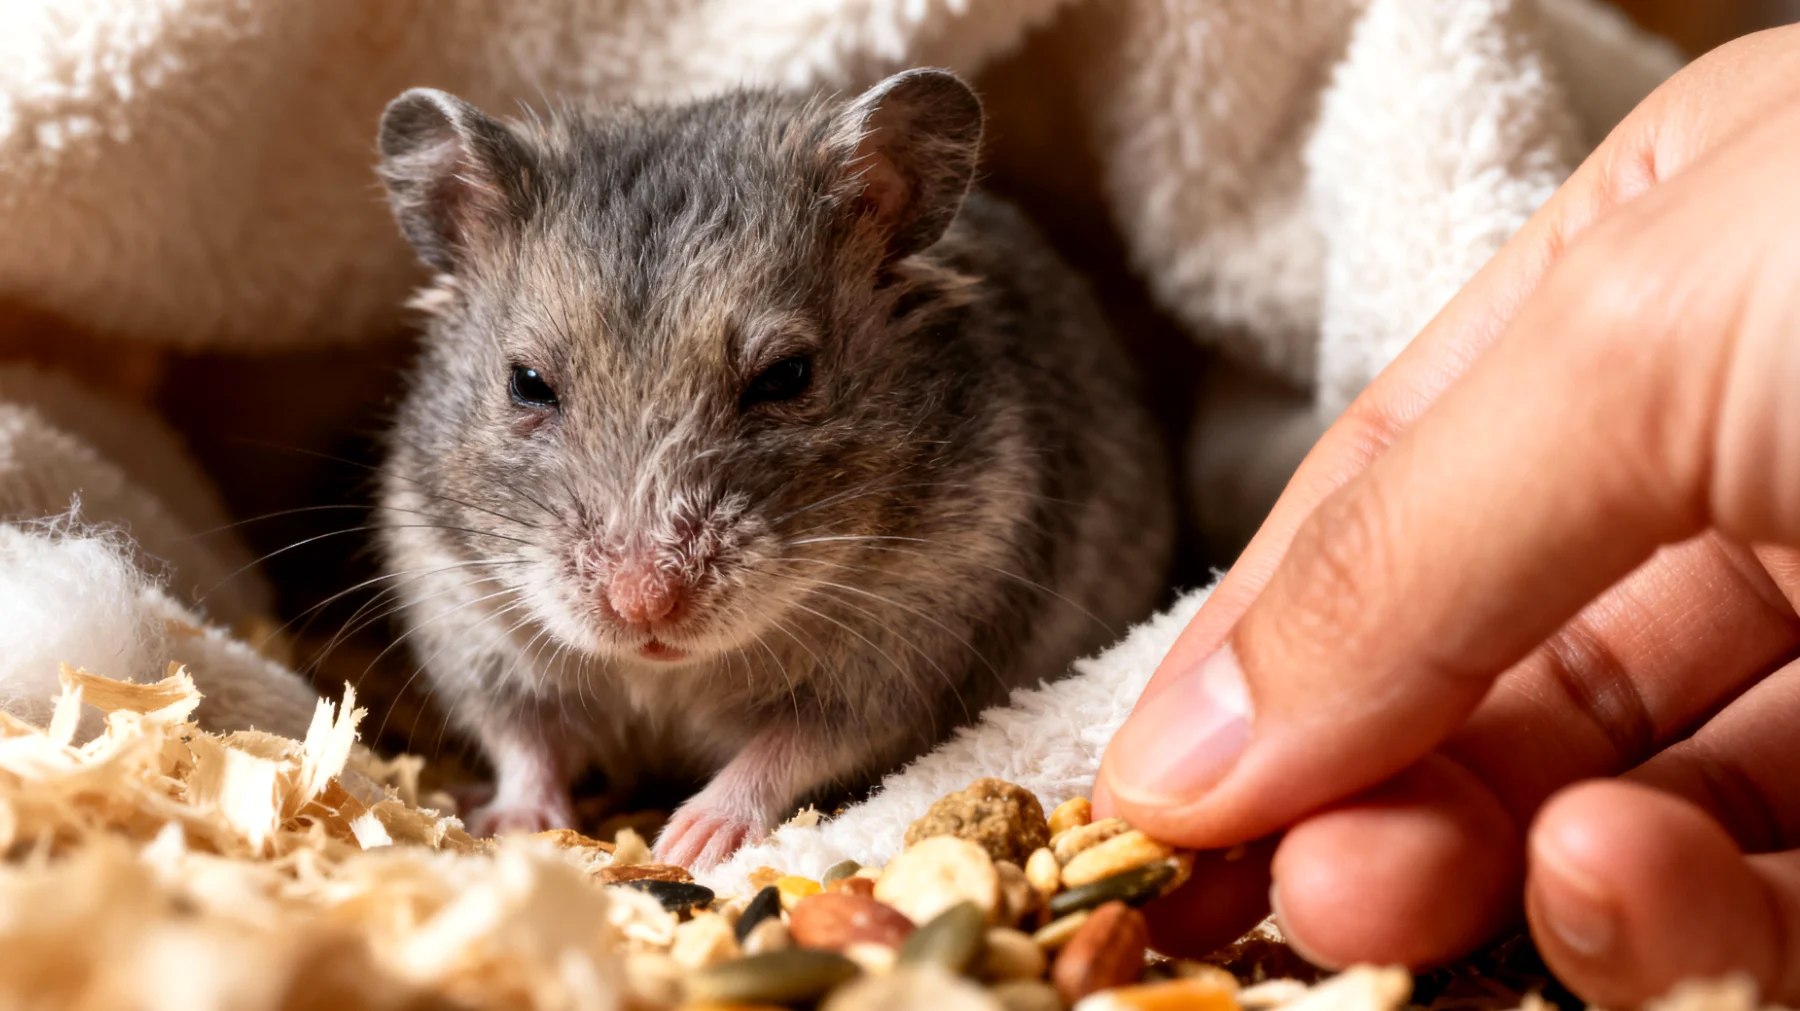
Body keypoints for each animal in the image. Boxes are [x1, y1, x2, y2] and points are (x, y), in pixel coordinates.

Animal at [372, 69, 1174, 869]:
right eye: (528, 382)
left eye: (785, 376)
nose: (644, 604)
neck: (665, 672)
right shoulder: (469, 622)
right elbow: (523, 740)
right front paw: (509, 828)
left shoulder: (909, 653)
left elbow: (790, 746)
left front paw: (690, 844)